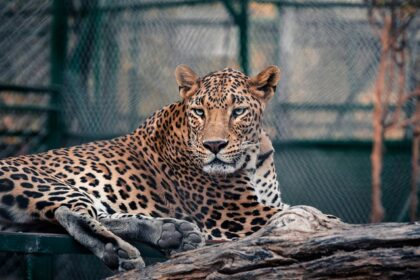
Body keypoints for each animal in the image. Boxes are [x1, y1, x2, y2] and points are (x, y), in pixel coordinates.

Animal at [0, 65, 288, 272]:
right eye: (199, 112)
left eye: (238, 111)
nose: (214, 145)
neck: (252, 157)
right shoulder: (236, 213)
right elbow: (297, 212)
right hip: (48, 184)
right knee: (69, 214)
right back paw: (118, 250)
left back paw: (172, 232)